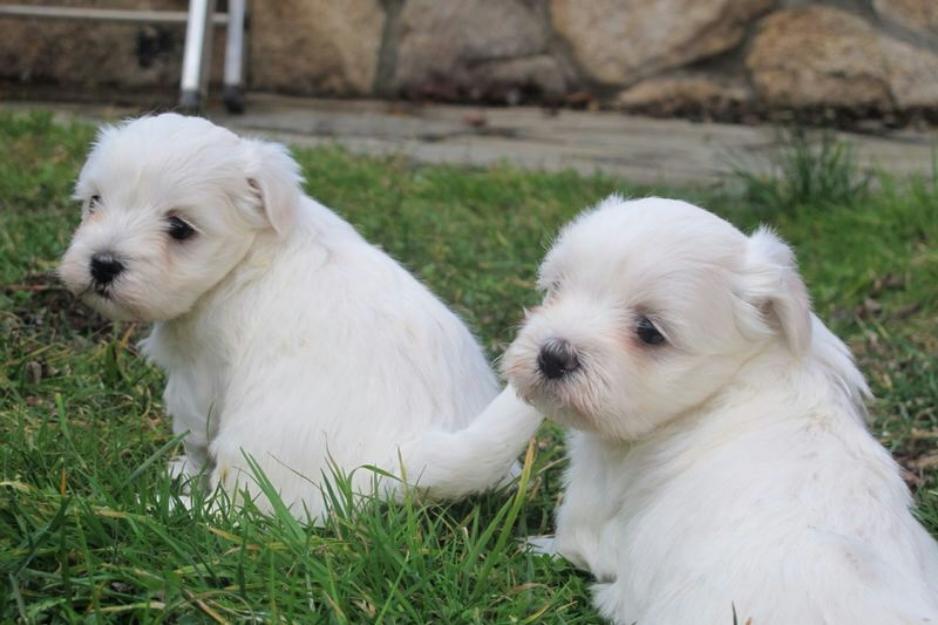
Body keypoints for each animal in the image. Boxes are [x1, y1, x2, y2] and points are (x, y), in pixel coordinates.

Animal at [58, 114, 540, 520]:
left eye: (180, 228)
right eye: (94, 202)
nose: (103, 263)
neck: (251, 252)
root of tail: (403, 460)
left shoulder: (198, 378)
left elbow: (194, 438)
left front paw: (182, 474)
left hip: (253, 453)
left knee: (237, 512)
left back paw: (170, 508)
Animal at [504, 196, 936, 624]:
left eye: (648, 331)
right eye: (556, 288)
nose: (553, 355)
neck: (733, 378)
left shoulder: (594, 496)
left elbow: (572, 541)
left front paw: (532, 545)